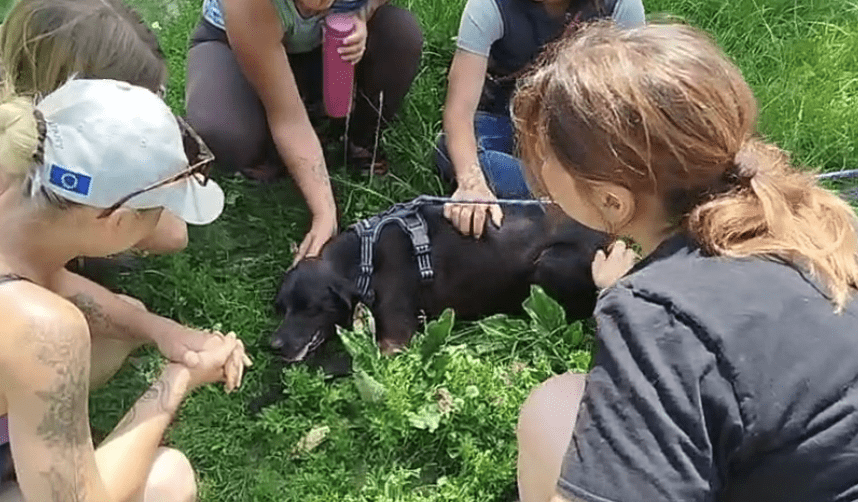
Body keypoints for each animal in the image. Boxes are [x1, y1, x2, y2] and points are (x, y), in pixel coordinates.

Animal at [271, 199, 610, 362]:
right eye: (281, 309)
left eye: (311, 308)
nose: (273, 345)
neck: (363, 259)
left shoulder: (392, 345)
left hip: (548, 263)